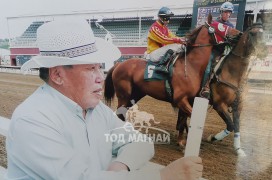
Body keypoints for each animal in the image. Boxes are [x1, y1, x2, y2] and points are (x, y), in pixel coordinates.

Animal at [176, 21, 268, 156]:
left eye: (264, 33)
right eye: (253, 33)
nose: (265, 51)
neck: (232, 73)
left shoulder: (238, 106)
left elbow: (237, 126)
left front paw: (239, 150)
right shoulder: (219, 105)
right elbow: (230, 125)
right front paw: (212, 138)